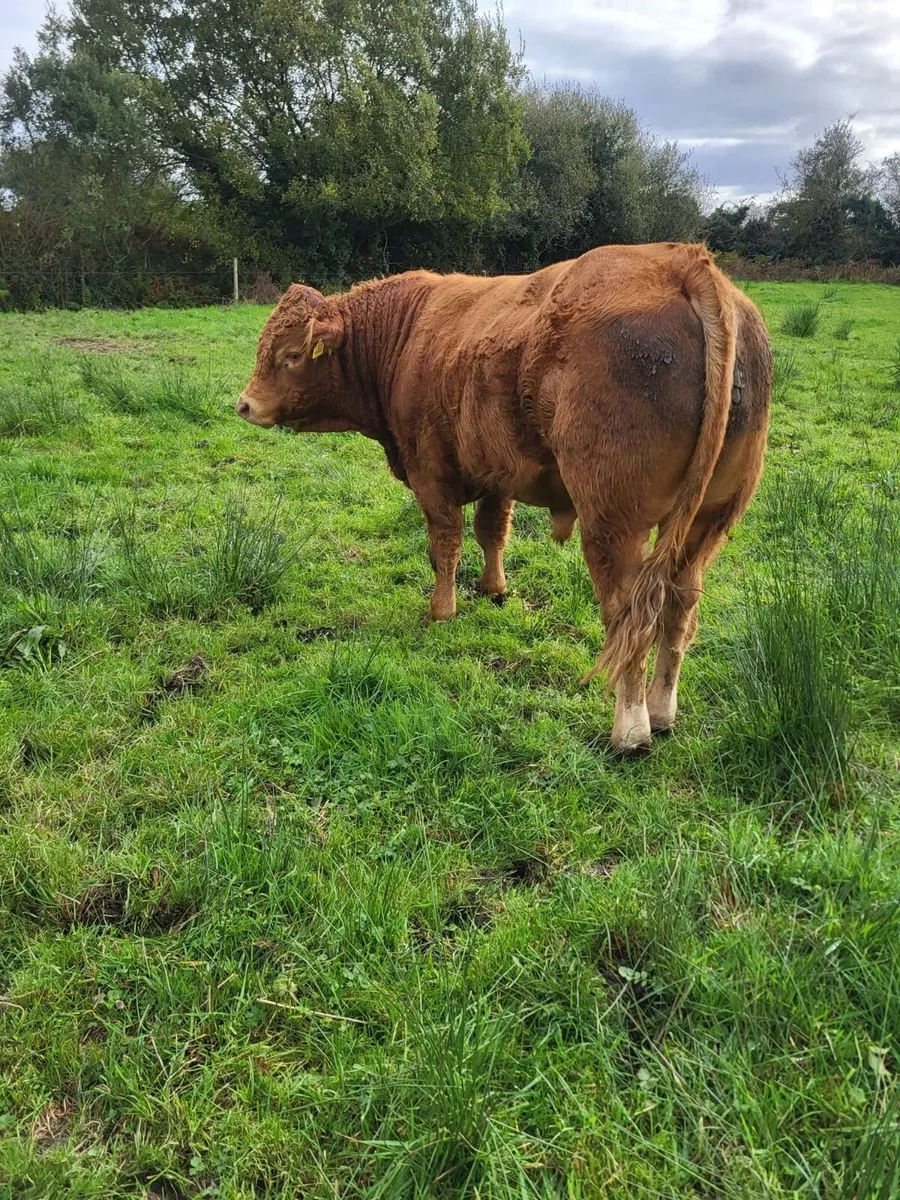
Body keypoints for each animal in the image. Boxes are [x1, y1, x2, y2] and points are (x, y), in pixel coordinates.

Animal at [237, 242, 771, 754]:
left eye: (291, 355)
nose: (244, 404)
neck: (406, 337)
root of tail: (682, 261)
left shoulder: (431, 476)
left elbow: (445, 546)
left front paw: (442, 611)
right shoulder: (496, 472)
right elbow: (492, 532)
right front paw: (495, 589)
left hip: (614, 524)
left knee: (629, 619)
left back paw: (631, 732)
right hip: (707, 525)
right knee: (680, 610)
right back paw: (661, 713)